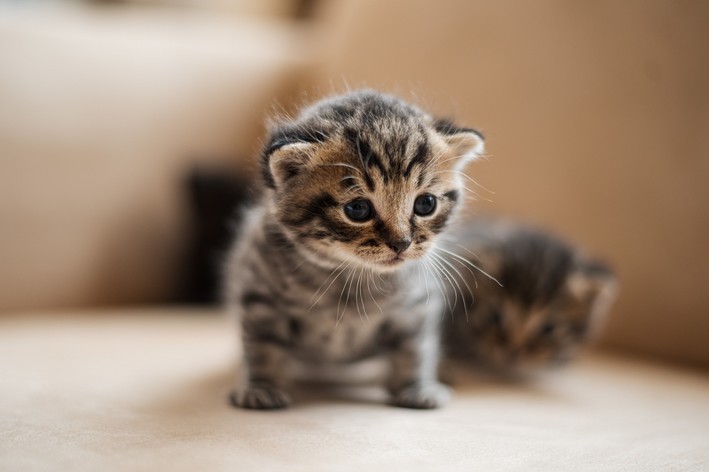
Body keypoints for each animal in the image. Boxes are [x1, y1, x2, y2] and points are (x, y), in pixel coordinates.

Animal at [224, 90, 484, 408]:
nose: (401, 243)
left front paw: (416, 386)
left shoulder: (417, 304)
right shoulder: (259, 295)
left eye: (425, 204)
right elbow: (262, 347)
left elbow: (415, 347)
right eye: (358, 209)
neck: (351, 277)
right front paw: (261, 386)